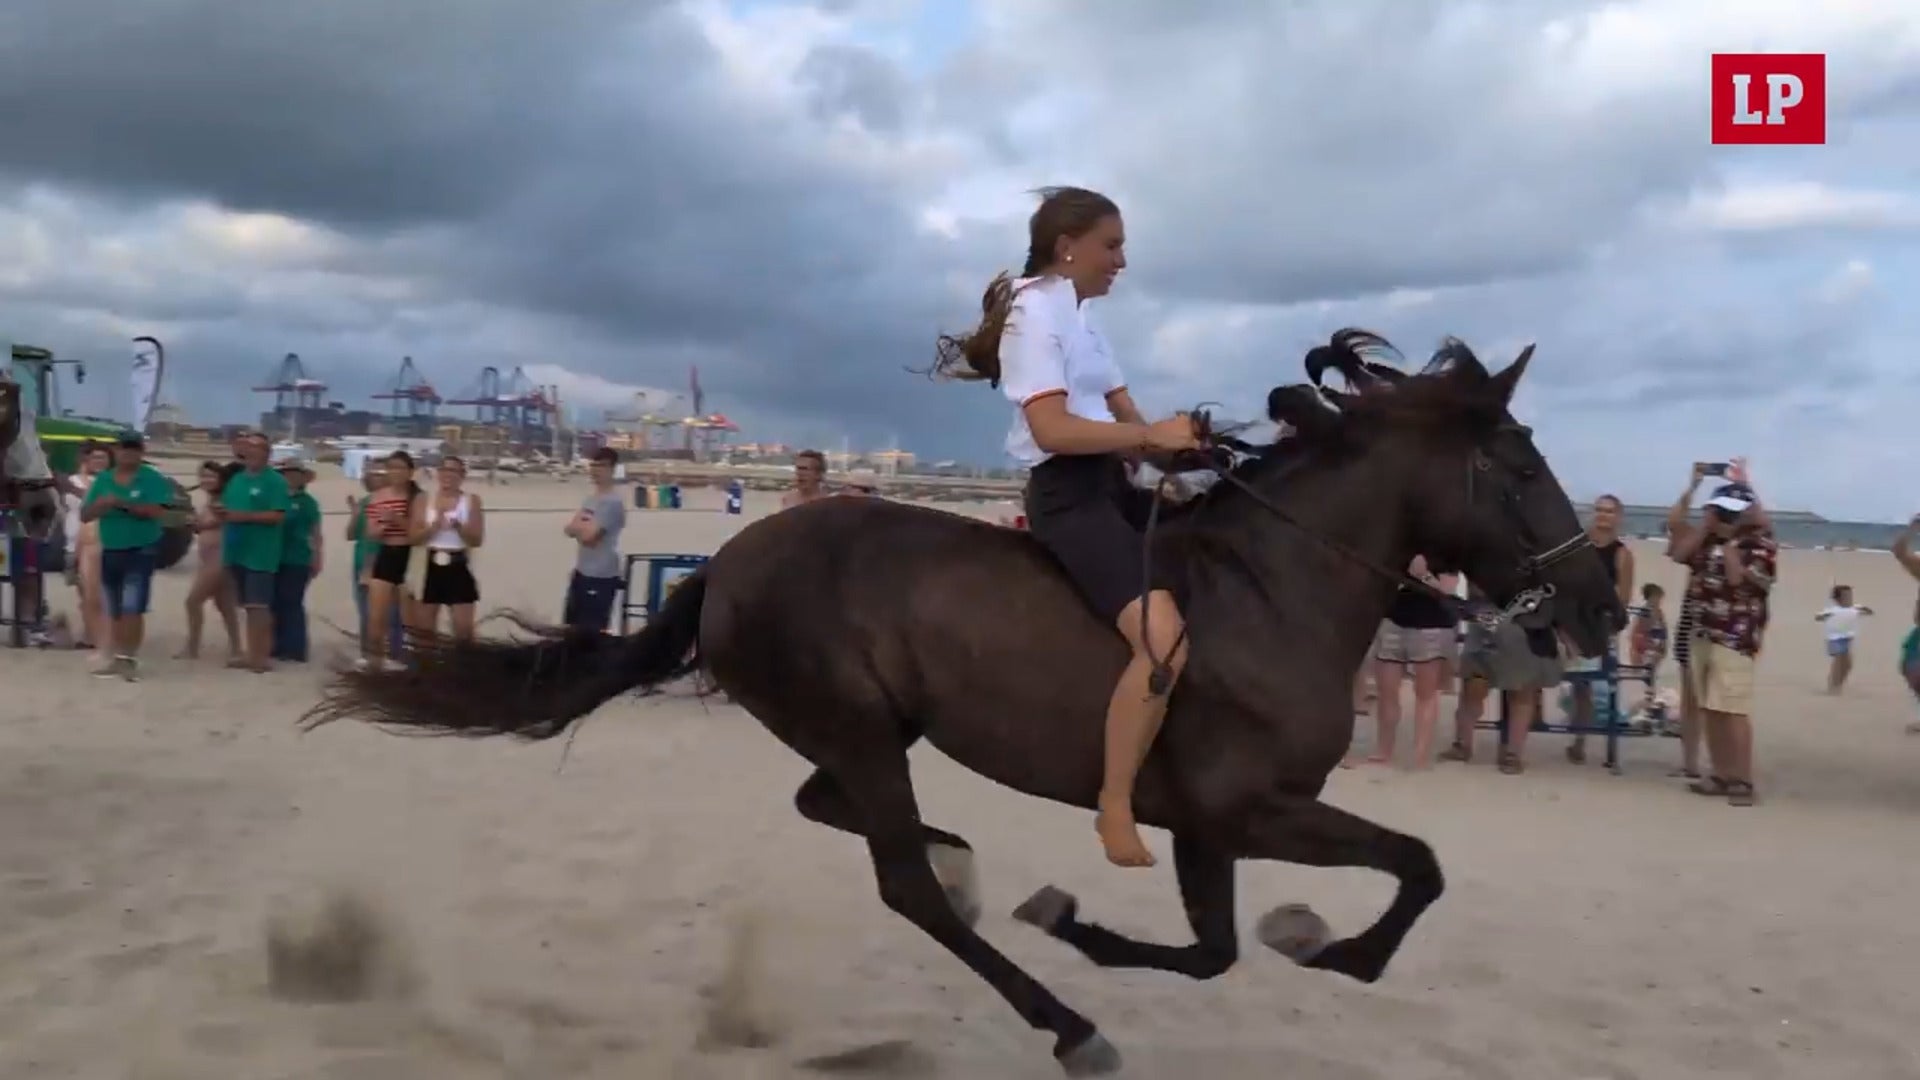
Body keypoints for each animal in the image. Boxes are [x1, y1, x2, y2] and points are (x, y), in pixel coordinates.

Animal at [305, 331, 1625, 1076]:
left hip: (865, 728)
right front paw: (1330, 947)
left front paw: (1273, 934)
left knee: (840, 814)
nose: (1602, 607)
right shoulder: (1242, 808)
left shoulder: (1212, 823)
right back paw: (1059, 1014)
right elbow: (1409, 869)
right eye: (1519, 468)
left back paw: (971, 868)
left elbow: (1219, 949)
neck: (1279, 587)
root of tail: (730, 561)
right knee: (899, 881)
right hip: (853, 722)